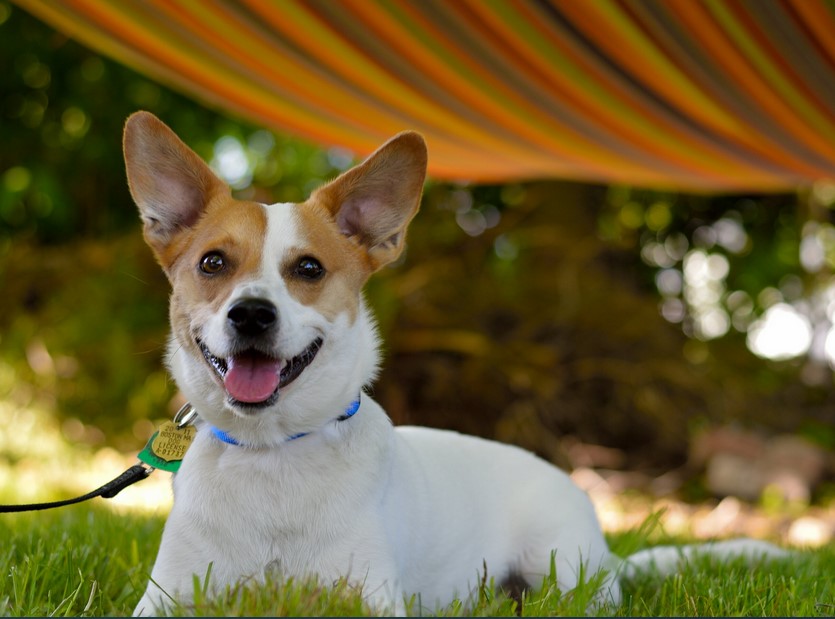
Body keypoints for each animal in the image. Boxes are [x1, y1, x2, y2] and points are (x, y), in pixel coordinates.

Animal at [125, 111, 784, 616]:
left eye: (308, 268)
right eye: (212, 263)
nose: (251, 315)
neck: (271, 454)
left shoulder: (368, 598)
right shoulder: (167, 599)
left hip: (565, 574)